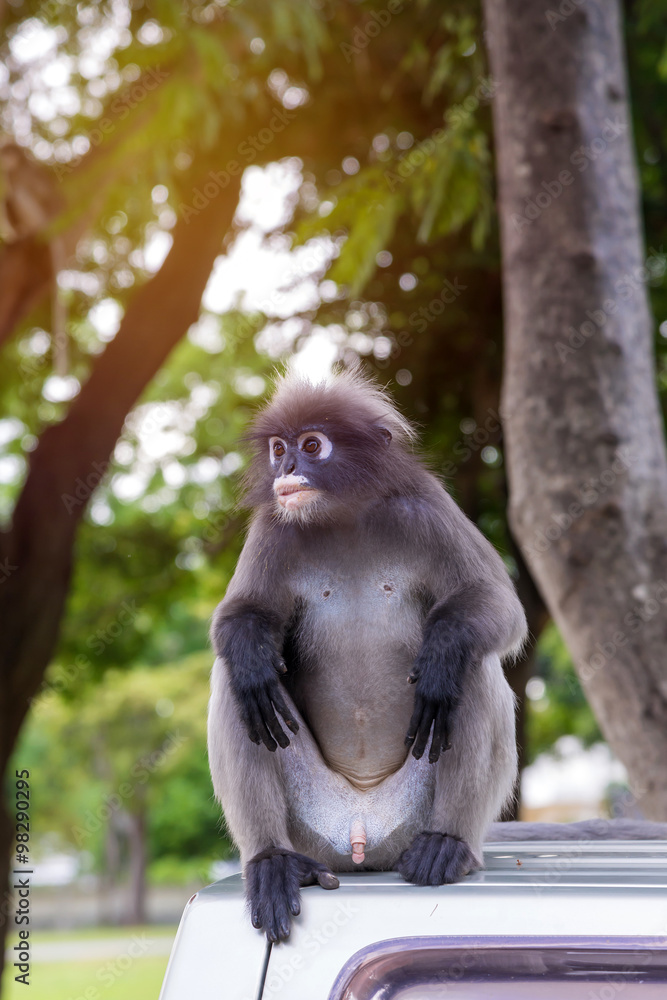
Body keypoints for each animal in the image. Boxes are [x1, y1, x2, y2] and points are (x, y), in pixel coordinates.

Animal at [0, 141, 68, 375]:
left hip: (44, 221)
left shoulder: (21, 171)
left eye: (9, 152)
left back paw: (27, 233)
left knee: (18, 192)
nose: (5, 157)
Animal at [208, 369, 527, 942]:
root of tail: (360, 834)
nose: (286, 469)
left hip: (408, 818)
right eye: (279, 448)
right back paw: (271, 861)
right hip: (311, 827)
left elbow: (499, 604)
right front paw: (250, 651)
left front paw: (442, 651)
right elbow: (239, 618)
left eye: (312, 446)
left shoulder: (425, 507)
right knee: (237, 684)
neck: (343, 517)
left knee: (474, 667)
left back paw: (447, 846)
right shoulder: (273, 524)